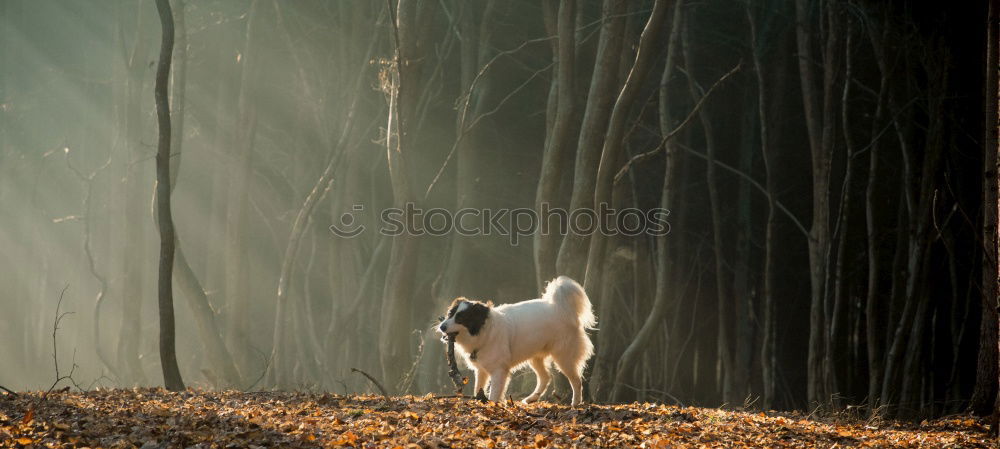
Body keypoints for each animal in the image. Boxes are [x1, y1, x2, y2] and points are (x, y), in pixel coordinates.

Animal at [436, 274, 592, 404]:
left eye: (460, 318)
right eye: (450, 314)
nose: (442, 327)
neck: (484, 331)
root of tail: (562, 308)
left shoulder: (499, 371)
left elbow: (494, 393)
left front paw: (492, 406)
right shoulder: (481, 370)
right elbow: (478, 388)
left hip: (563, 357)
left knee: (577, 381)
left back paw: (575, 404)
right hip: (535, 356)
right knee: (546, 377)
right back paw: (531, 398)